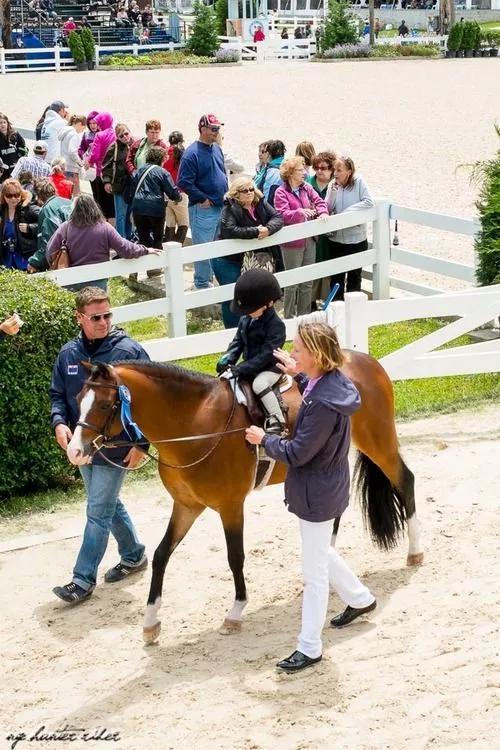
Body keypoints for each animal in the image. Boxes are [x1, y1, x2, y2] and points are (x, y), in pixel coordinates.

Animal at [67, 354, 422, 648]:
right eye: (78, 400)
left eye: (103, 405)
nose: (74, 451)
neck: (195, 423)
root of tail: (365, 360)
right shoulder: (187, 506)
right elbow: (160, 556)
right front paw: (151, 623)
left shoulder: (230, 506)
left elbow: (234, 557)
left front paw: (235, 613)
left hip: (379, 442)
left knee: (405, 481)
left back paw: (415, 553)